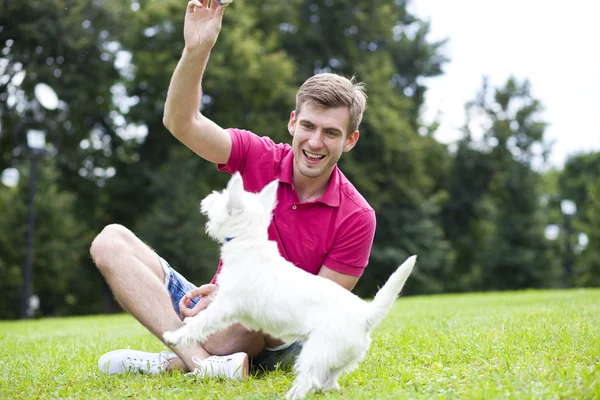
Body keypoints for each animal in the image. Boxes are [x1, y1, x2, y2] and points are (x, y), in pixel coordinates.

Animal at [164, 173, 418, 398]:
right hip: (333, 359)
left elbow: (202, 322)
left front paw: (176, 336)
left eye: (223, 196)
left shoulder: (226, 306)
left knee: (309, 381)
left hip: (315, 353)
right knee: (328, 382)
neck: (248, 241)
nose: (207, 199)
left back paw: (291, 396)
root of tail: (366, 315)